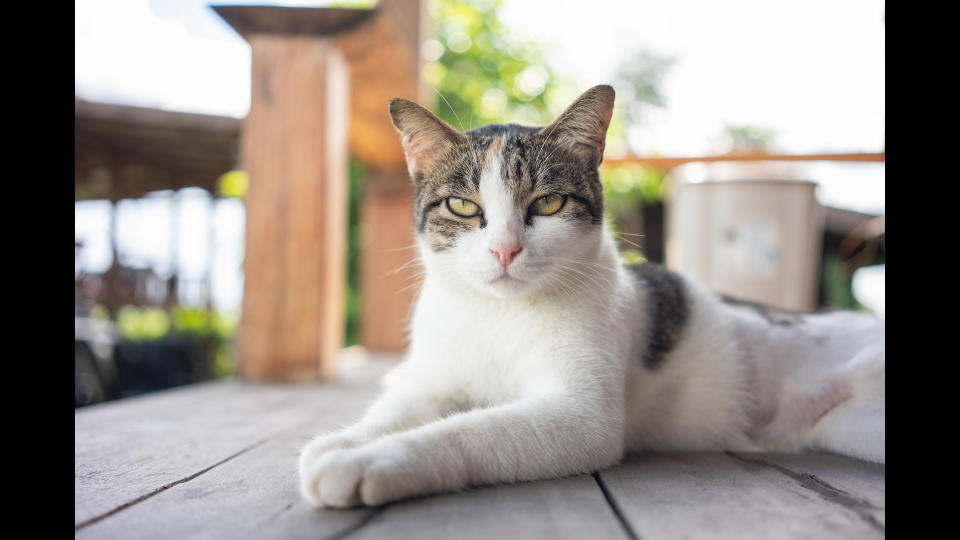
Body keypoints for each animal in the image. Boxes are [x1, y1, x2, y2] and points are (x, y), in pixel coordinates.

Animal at [294, 85, 884, 510]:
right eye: (462, 207)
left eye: (548, 203)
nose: (505, 249)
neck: (498, 316)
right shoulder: (434, 379)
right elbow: (400, 406)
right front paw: (348, 440)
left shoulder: (580, 417)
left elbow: (467, 431)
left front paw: (368, 463)